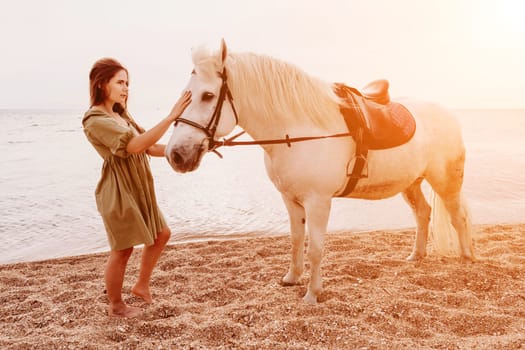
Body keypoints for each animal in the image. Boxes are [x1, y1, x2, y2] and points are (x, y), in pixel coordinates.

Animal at [165, 39, 474, 304]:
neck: (298, 130)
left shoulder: (318, 202)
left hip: (445, 182)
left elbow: (315, 248)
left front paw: (312, 294)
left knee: (458, 217)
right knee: (423, 213)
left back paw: (467, 258)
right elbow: (295, 240)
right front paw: (292, 278)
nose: (176, 155)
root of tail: (449, 114)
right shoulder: (290, 199)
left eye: (208, 95)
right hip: (411, 183)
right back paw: (416, 256)